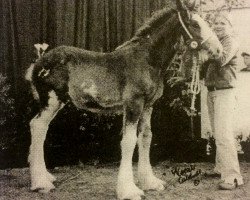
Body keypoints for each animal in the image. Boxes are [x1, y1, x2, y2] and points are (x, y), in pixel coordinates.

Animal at [25, 0, 223, 199]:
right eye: (195, 24)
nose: (219, 50)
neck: (147, 59)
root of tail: (38, 62)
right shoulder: (133, 104)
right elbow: (128, 142)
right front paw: (128, 190)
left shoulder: (148, 105)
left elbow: (146, 137)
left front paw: (150, 182)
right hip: (51, 101)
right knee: (38, 126)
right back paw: (40, 183)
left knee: (40, 128)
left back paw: (46, 177)